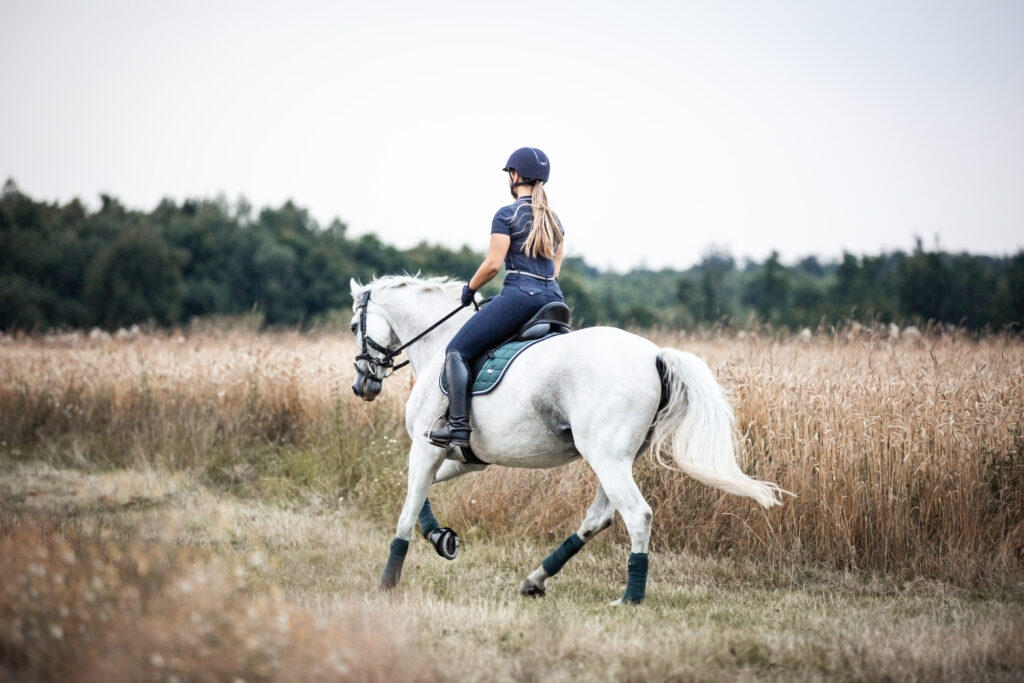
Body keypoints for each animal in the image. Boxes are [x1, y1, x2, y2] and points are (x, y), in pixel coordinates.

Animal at [350, 272, 782, 602]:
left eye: (355, 327)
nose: (362, 385)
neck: (438, 343)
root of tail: (654, 355)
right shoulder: (466, 458)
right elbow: (420, 492)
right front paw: (441, 538)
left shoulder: (426, 447)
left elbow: (407, 512)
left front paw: (387, 584)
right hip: (617, 460)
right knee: (600, 517)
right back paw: (535, 579)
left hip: (607, 458)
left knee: (637, 515)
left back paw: (630, 598)